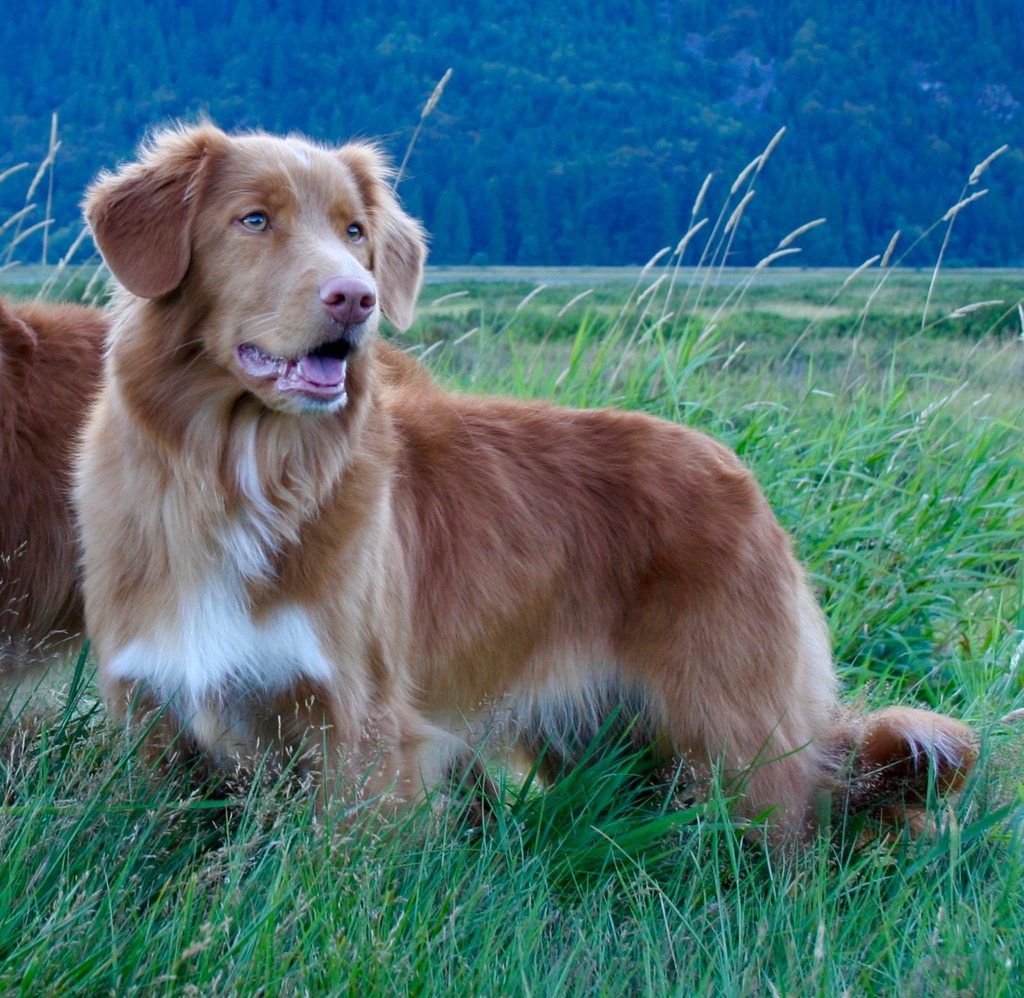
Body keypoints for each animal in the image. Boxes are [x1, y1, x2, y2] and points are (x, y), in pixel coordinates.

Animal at [77, 122, 974, 843]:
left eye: (355, 231)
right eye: (254, 220)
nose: (357, 299)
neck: (239, 470)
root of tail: (743, 479)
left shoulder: (360, 731)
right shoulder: (152, 719)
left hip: (737, 737)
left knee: (791, 839)